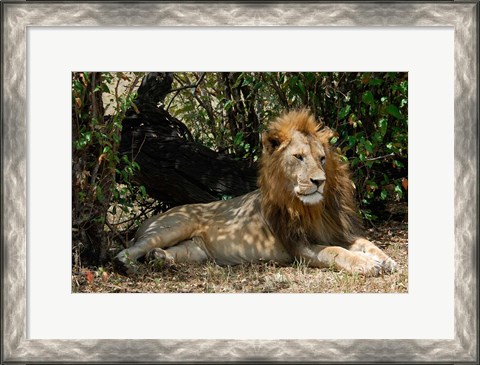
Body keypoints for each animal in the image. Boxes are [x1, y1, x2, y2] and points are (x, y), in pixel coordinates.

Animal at [113, 109, 398, 274]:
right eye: (299, 157)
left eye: (322, 158)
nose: (319, 181)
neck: (314, 209)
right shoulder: (299, 246)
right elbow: (335, 252)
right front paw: (367, 264)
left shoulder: (339, 231)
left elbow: (367, 244)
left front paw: (386, 260)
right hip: (172, 226)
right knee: (130, 248)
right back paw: (127, 265)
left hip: (194, 251)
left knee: (170, 253)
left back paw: (159, 258)